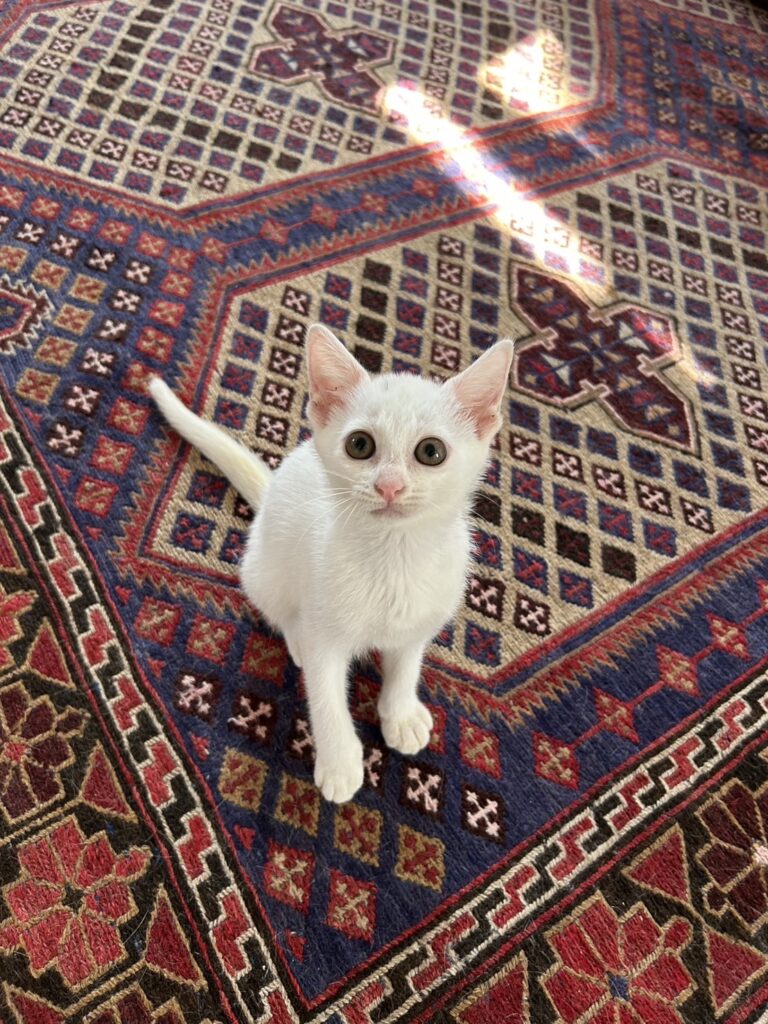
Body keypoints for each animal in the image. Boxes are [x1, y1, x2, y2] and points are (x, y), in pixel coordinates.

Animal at [149, 324, 513, 802]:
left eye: (431, 451)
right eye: (360, 445)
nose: (390, 485)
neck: (392, 557)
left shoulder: (421, 619)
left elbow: (407, 664)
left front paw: (400, 713)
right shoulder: (326, 634)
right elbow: (325, 698)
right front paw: (340, 762)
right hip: (267, 571)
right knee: (282, 612)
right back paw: (296, 638)